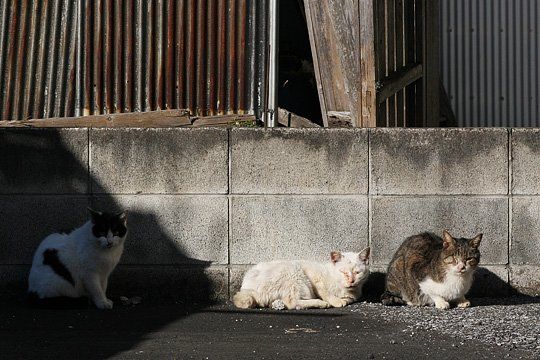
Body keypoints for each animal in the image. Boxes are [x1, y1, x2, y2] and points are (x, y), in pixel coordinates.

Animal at [234, 248, 370, 310]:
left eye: (357, 272)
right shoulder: (313, 275)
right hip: (295, 274)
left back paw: (277, 304)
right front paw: (336, 301)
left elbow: (348, 298)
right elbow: (325, 292)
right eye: (343, 272)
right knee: (293, 302)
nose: (351, 281)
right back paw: (321, 303)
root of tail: (247, 290)